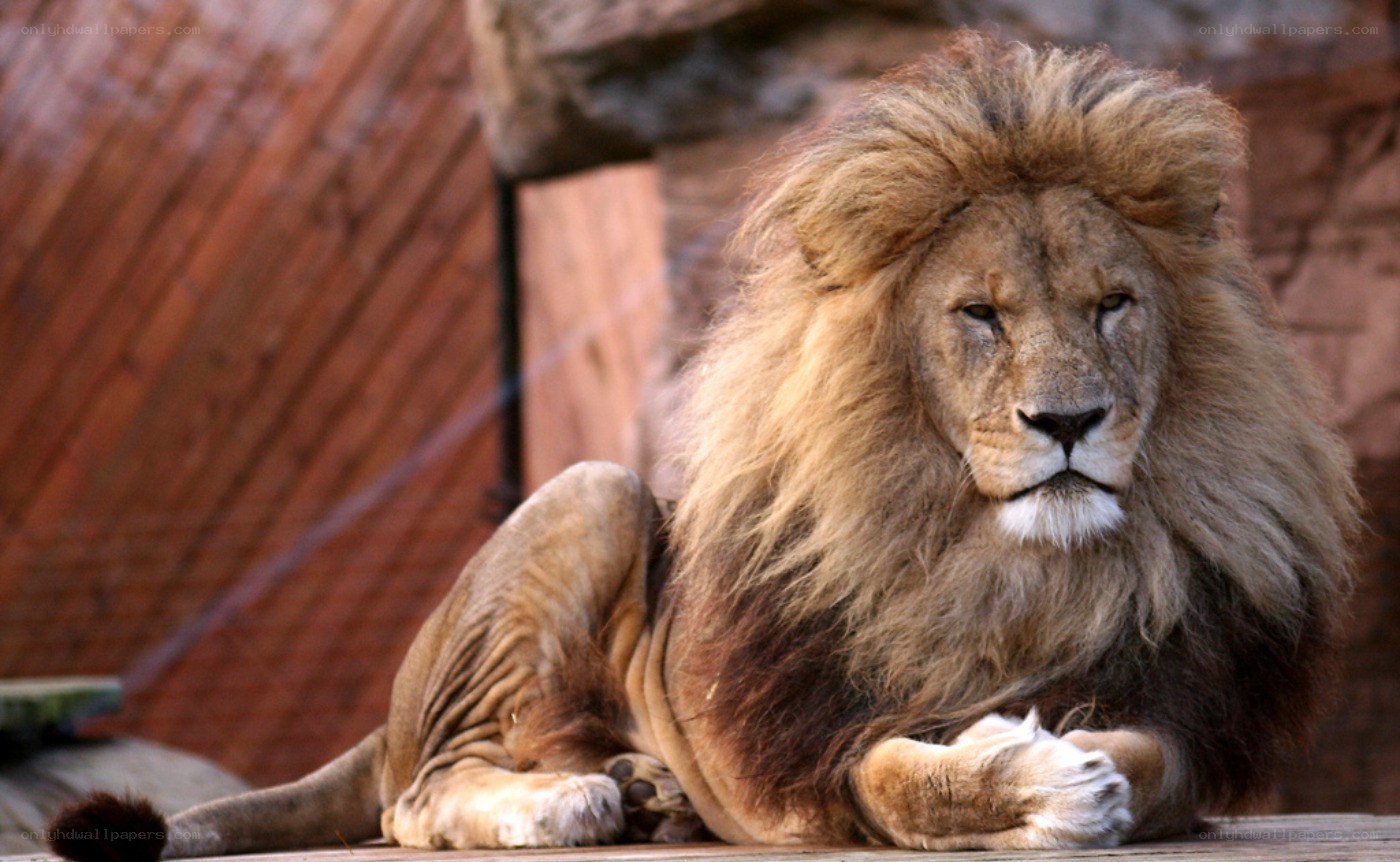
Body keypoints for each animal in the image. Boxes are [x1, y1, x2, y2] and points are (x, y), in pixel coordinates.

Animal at [50, 33, 1357, 860]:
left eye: (1112, 306)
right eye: (978, 315)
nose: (1068, 423)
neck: (1001, 558)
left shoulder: (1179, 705)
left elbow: (1138, 758)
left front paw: (1068, 769)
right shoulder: (828, 735)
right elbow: (903, 777)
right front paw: (1031, 782)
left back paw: (646, 793)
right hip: (591, 491)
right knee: (420, 795)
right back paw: (570, 802)